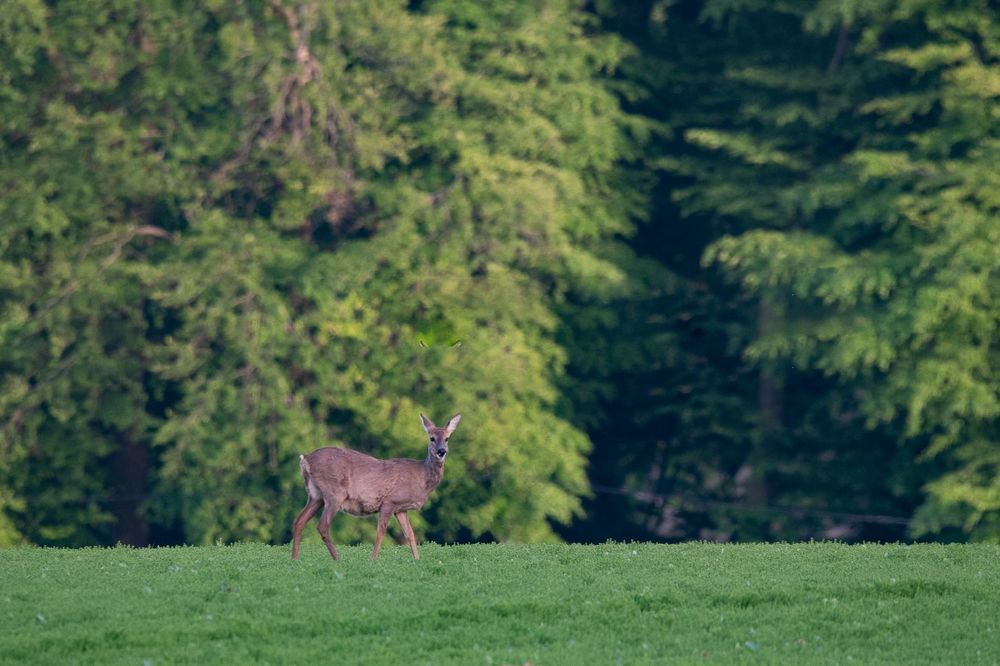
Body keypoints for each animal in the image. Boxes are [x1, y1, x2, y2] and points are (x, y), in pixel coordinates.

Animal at [291, 413, 461, 562]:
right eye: (432, 438)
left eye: (447, 438)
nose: (441, 451)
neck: (421, 477)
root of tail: (305, 458)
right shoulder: (389, 502)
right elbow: (381, 532)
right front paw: (372, 560)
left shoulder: (401, 508)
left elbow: (410, 535)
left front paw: (417, 560)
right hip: (334, 493)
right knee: (322, 526)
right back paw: (337, 559)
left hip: (316, 495)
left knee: (299, 521)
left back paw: (295, 559)